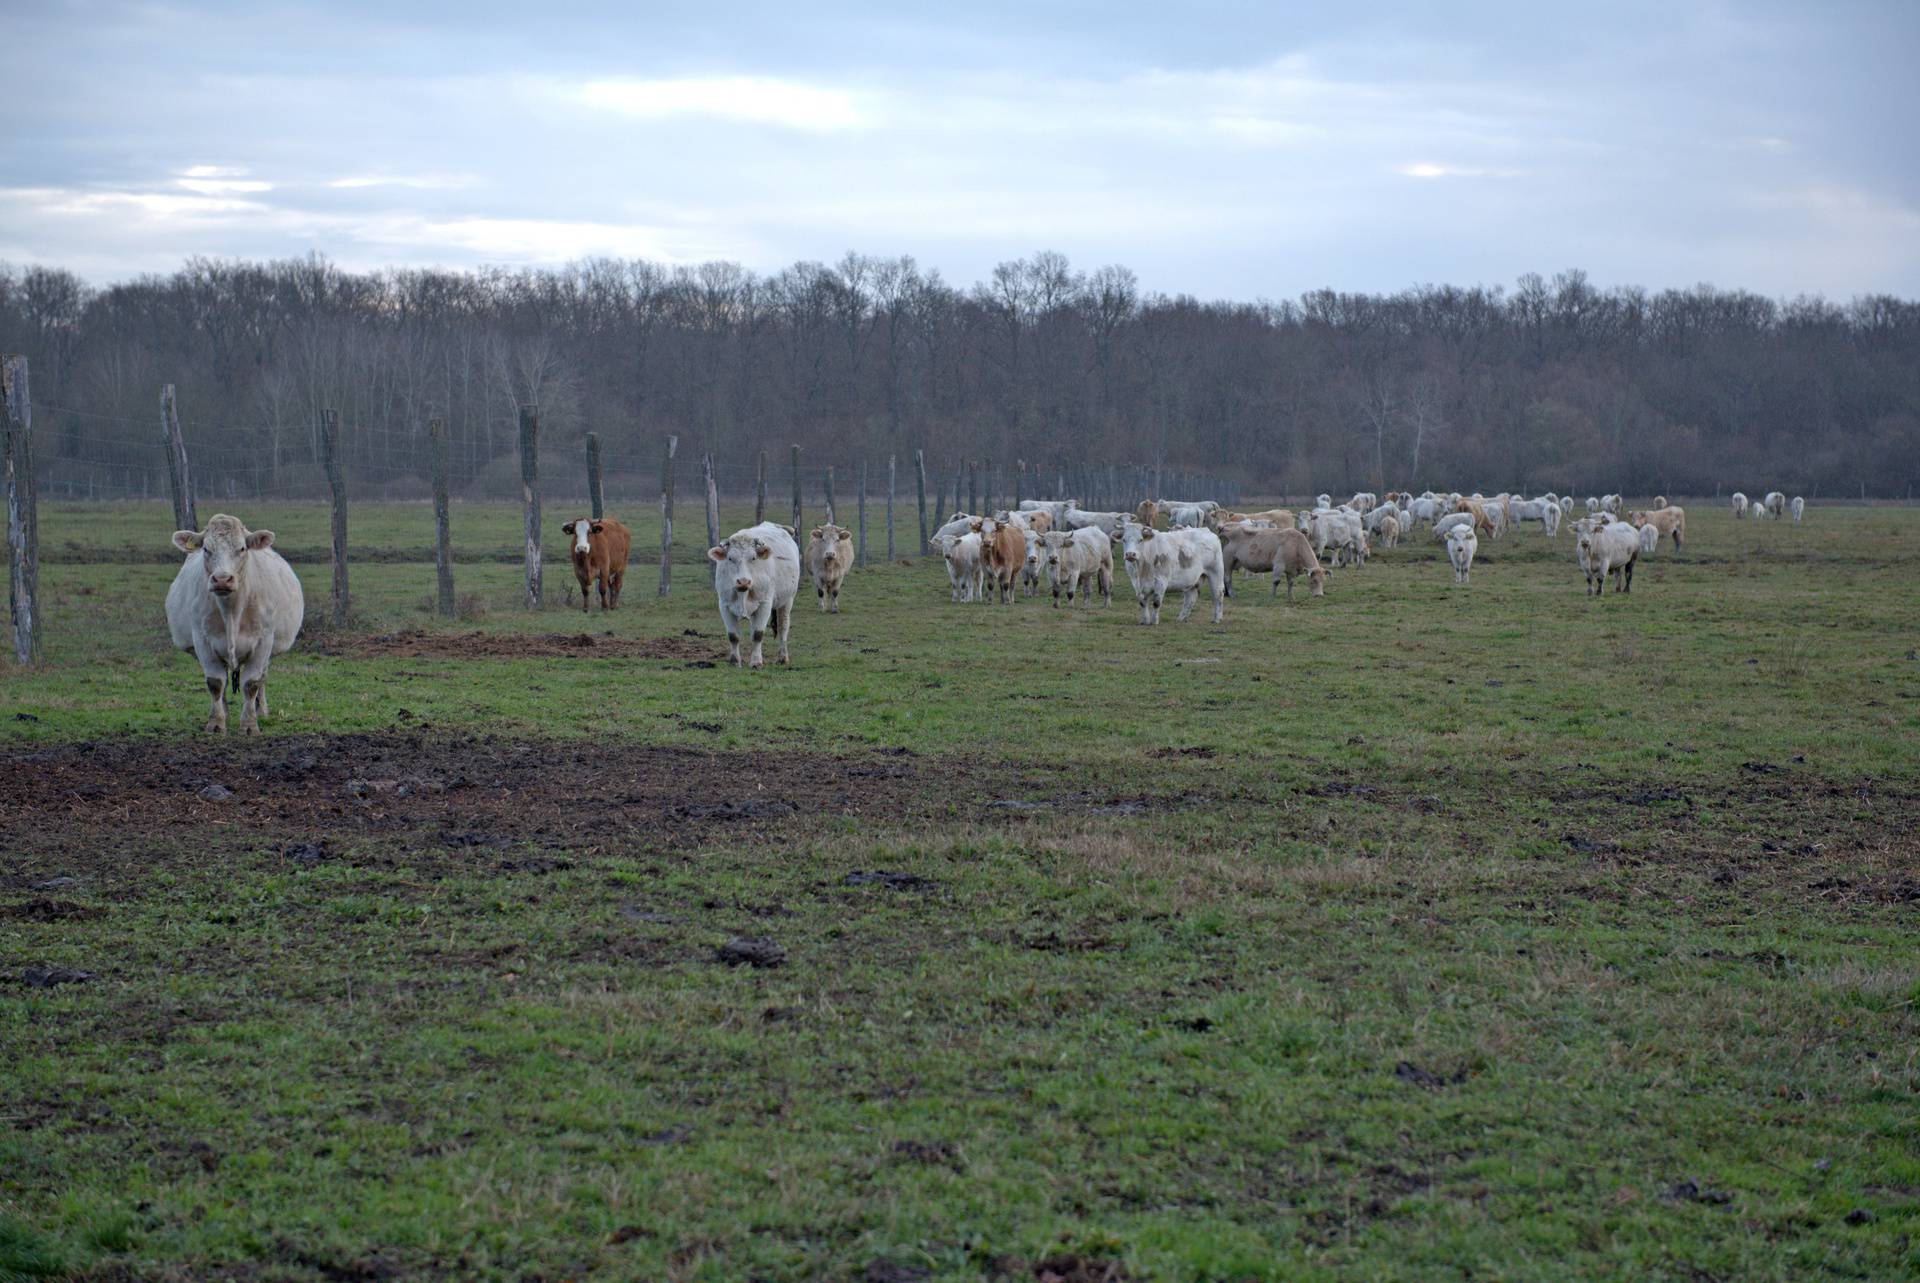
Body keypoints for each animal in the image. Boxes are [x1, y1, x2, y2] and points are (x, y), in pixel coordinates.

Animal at [168, 510, 307, 729]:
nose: (222, 579)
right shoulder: (202, 641)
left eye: (242, 548)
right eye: (206, 548)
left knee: (262, 678)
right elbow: (216, 683)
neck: (231, 612)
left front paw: (250, 724)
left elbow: (251, 684)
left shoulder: (263, 641)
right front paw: (216, 723)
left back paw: (261, 711)